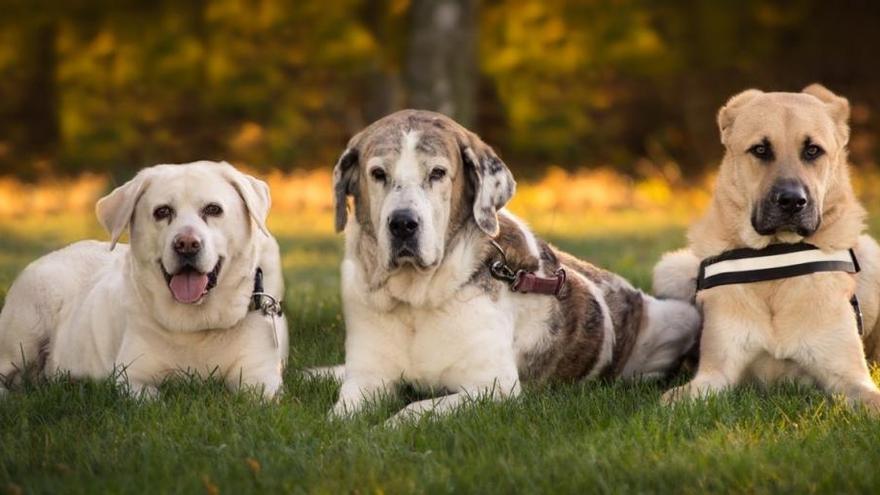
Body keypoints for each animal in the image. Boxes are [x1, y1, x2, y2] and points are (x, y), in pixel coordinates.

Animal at [326, 109, 696, 422]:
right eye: (378, 174)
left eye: (437, 173)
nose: (403, 223)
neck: (415, 301)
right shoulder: (367, 378)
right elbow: (339, 415)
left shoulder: (491, 388)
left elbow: (413, 409)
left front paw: (388, 425)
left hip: (675, 319)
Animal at [656, 85, 880, 410]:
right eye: (760, 150)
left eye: (813, 150)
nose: (791, 201)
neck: (776, 256)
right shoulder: (713, 375)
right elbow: (669, 401)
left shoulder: (848, 376)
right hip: (671, 269)